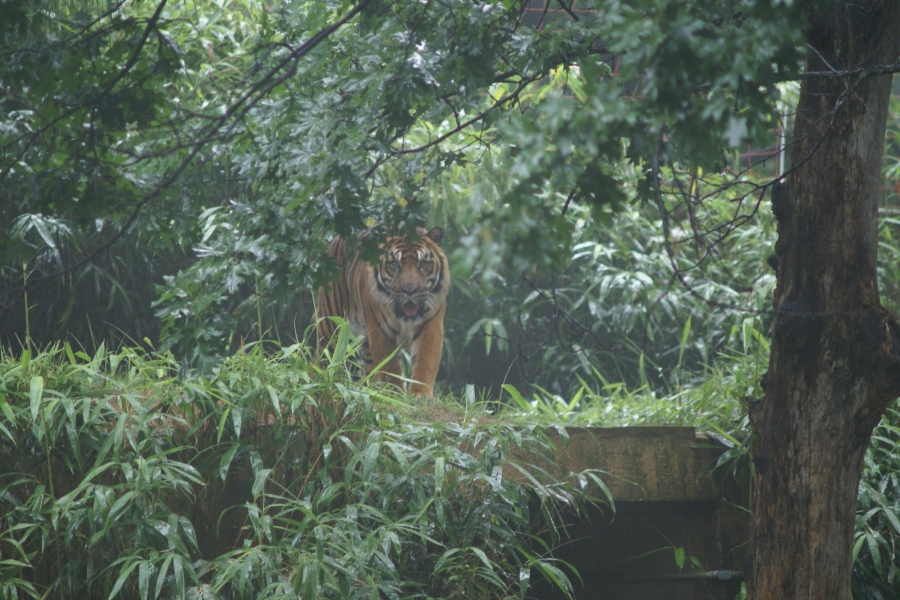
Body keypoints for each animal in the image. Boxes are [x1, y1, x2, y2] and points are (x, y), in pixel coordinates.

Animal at [316, 226, 449, 398]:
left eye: (423, 264)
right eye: (394, 264)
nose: (410, 290)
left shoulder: (430, 327)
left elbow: (424, 362)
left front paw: (420, 395)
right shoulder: (381, 332)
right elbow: (390, 368)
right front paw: (395, 395)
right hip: (331, 327)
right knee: (324, 356)